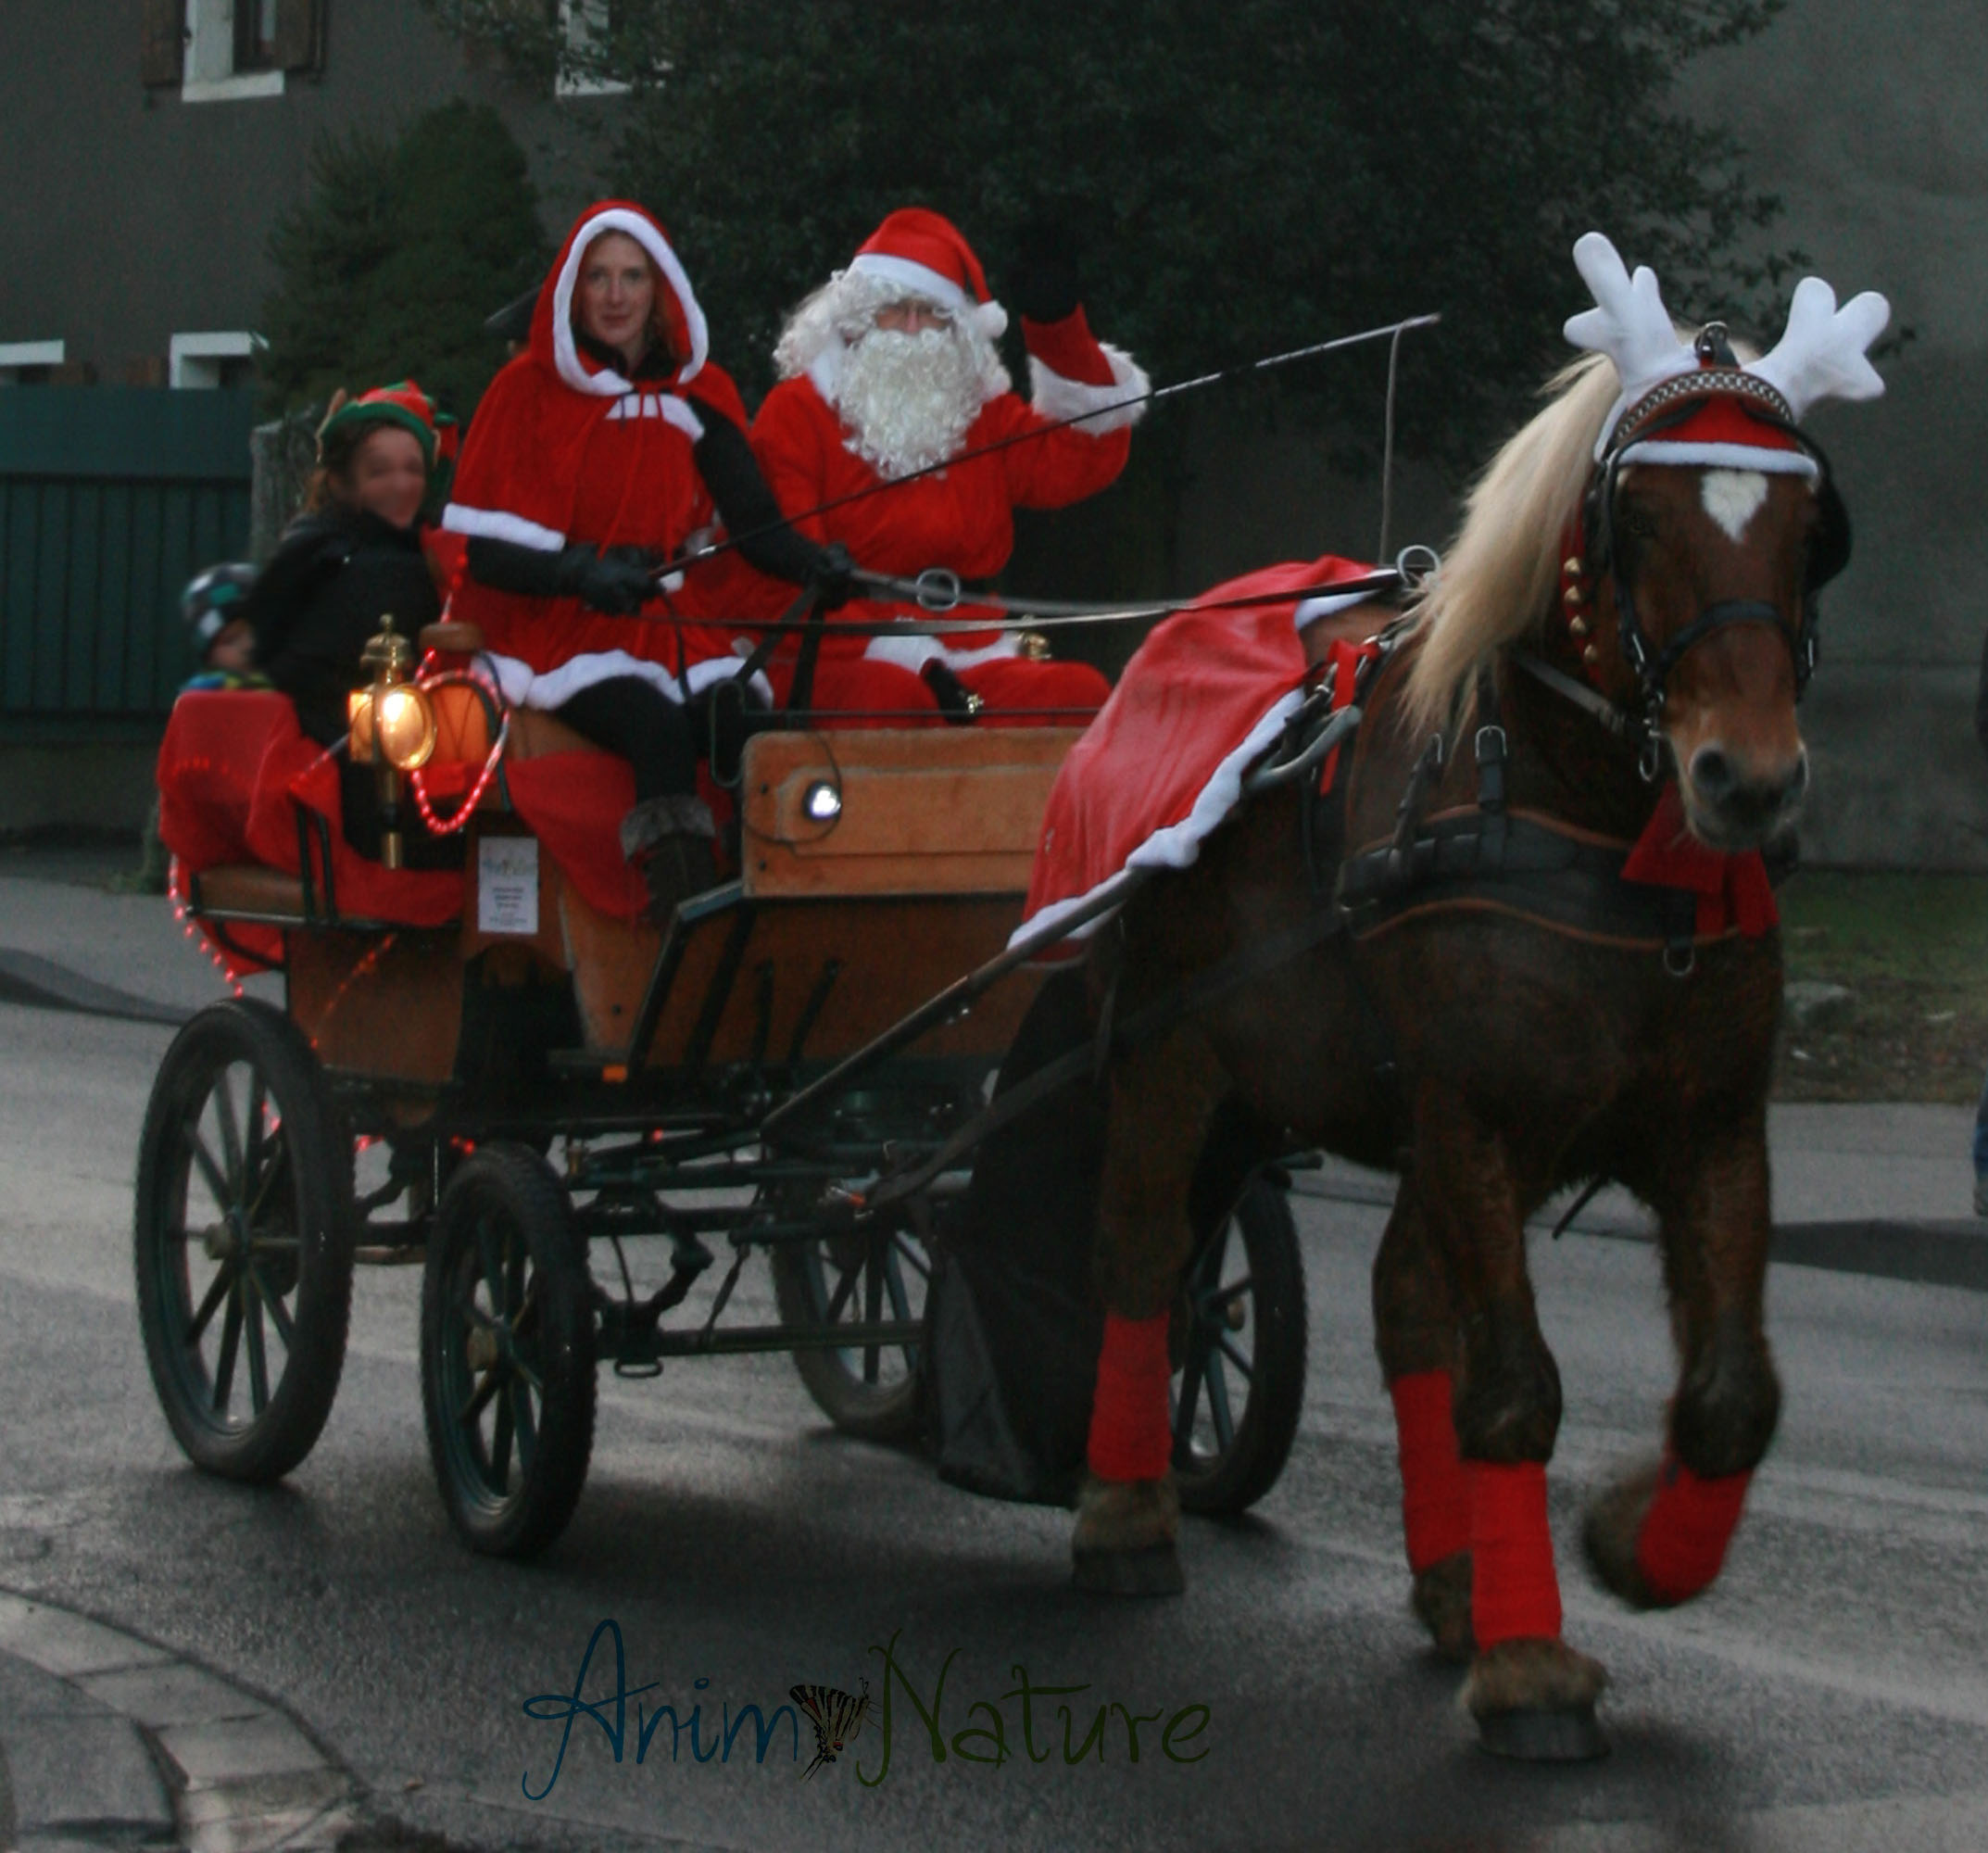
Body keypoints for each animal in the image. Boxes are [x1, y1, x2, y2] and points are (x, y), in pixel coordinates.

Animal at [1050, 238, 1884, 1757]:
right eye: (1636, 523)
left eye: (1808, 533)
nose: (1746, 781)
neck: (1599, 835)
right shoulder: (1475, 1113)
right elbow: (1510, 1391)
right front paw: (1532, 1667)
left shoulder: (1707, 1126)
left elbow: (1731, 1396)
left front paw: (1630, 1548)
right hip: (1173, 1049)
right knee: (1141, 1252)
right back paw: (1127, 1512)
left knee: (1399, 1303)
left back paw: (1452, 1580)